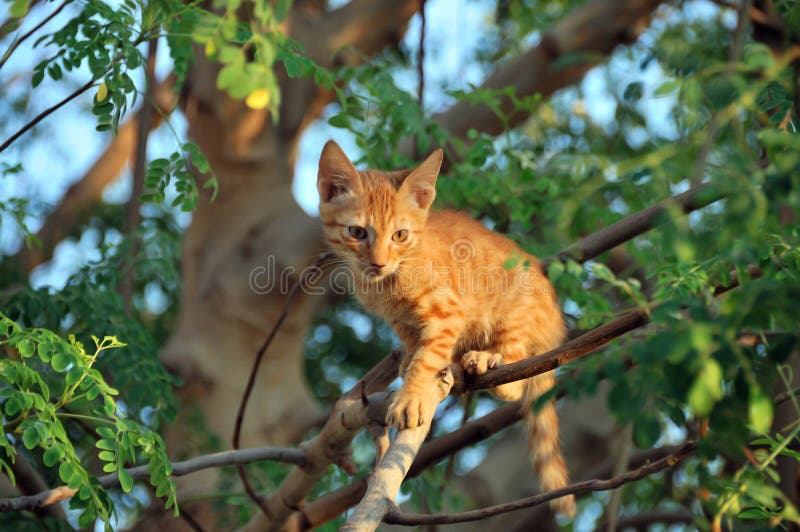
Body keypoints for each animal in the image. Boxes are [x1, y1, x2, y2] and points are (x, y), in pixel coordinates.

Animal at [318, 139, 576, 512]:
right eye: (357, 232)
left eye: (400, 235)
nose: (378, 262)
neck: (390, 279)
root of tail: (555, 329)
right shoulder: (400, 321)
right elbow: (415, 346)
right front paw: (410, 368)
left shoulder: (447, 312)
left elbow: (428, 356)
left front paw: (412, 395)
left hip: (513, 310)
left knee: (513, 376)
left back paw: (486, 359)